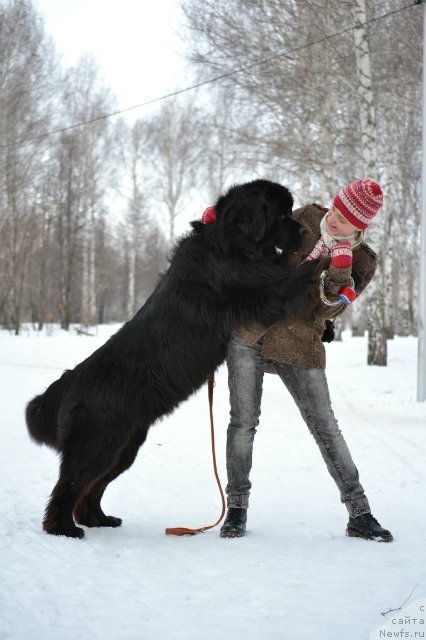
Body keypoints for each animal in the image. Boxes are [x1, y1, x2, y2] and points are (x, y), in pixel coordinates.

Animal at [26, 178, 320, 536]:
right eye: (281, 215)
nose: (304, 232)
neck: (229, 243)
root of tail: (68, 383)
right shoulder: (258, 293)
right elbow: (292, 277)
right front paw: (327, 259)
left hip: (123, 446)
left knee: (91, 487)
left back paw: (98, 519)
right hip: (98, 443)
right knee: (69, 486)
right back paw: (64, 529)